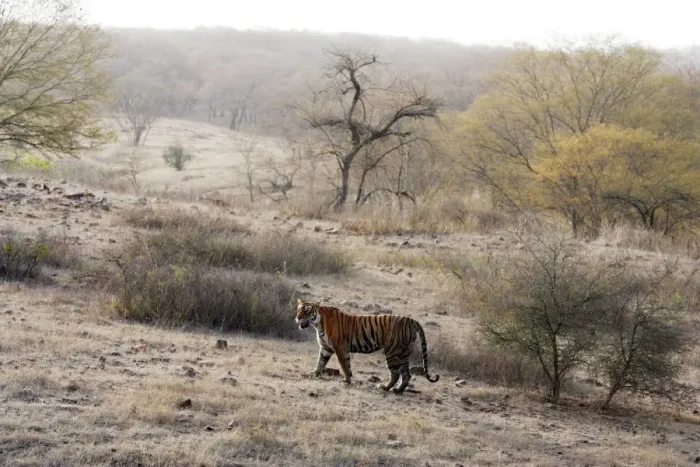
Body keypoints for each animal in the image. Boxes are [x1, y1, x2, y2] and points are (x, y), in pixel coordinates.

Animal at [295, 298, 440, 394]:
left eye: (307, 310)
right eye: (299, 309)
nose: (298, 318)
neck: (318, 324)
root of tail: (411, 320)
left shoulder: (340, 348)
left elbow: (344, 365)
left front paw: (347, 380)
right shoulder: (326, 347)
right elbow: (321, 362)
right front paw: (314, 373)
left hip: (392, 351)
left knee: (396, 373)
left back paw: (385, 387)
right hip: (404, 352)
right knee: (406, 374)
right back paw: (398, 390)